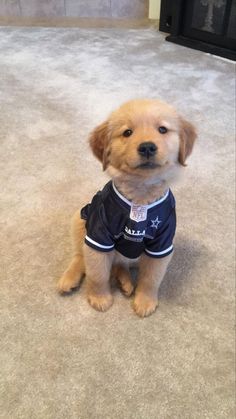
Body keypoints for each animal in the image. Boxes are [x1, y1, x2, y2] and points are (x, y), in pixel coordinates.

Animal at [58, 99, 196, 318]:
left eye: (162, 129)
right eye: (127, 132)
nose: (147, 147)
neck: (140, 198)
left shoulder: (161, 245)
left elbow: (151, 279)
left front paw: (145, 300)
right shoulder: (98, 237)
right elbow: (97, 274)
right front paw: (99, 298)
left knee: (120, 264)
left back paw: (125, 282)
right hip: (80, 219)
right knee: (81, 255)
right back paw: (70, 278)